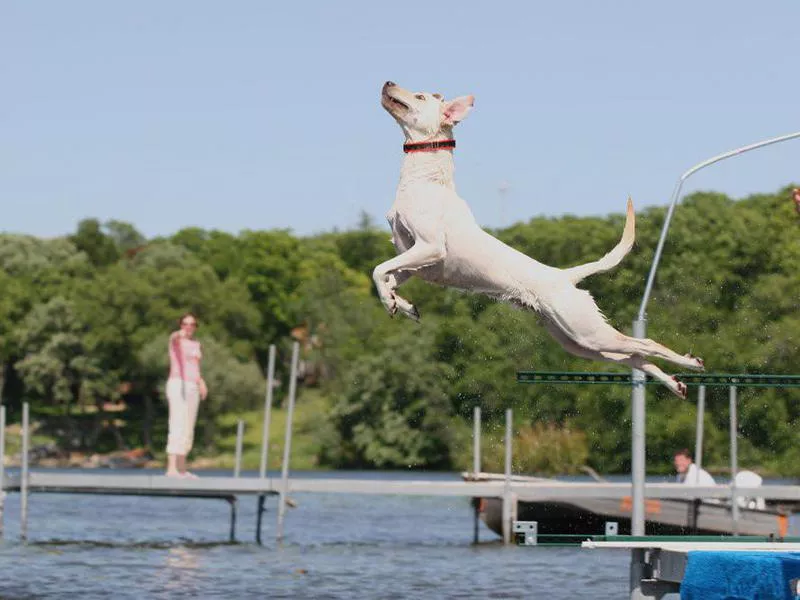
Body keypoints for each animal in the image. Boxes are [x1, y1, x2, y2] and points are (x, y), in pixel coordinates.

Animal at [372, 81, 704, 398]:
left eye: (419, 96)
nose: (387, 82)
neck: (425, 180)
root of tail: (565, 276)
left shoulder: (431, 248)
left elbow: (378, 270)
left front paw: (392, 301)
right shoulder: (414, 263)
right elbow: (386, 275)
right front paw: (401, 304)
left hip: (586, 330)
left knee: (645, 344)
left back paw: (690, 363)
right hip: (579, 342)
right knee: (633, 357)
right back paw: (676, 384)